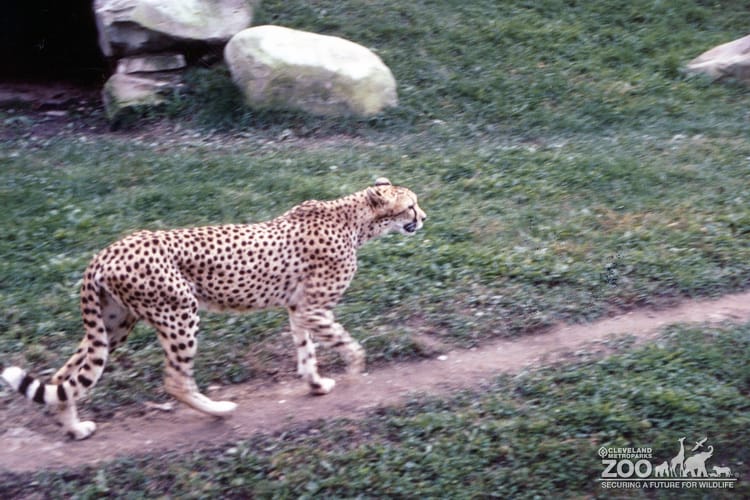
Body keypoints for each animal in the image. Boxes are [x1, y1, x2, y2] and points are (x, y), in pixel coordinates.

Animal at [1, 178, 426, 440]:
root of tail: (105, 252)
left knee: (64, 376)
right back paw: (218, 410)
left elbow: (307, 352)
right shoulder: (314, 309)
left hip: (112, 326)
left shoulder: (299, 308)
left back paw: (74, 429)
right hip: (180, 313)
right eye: (410, 205)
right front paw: (355, 372)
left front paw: (316, 384)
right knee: (175, 380)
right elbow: (347, 344)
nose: (424, 217)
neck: (353, 218)